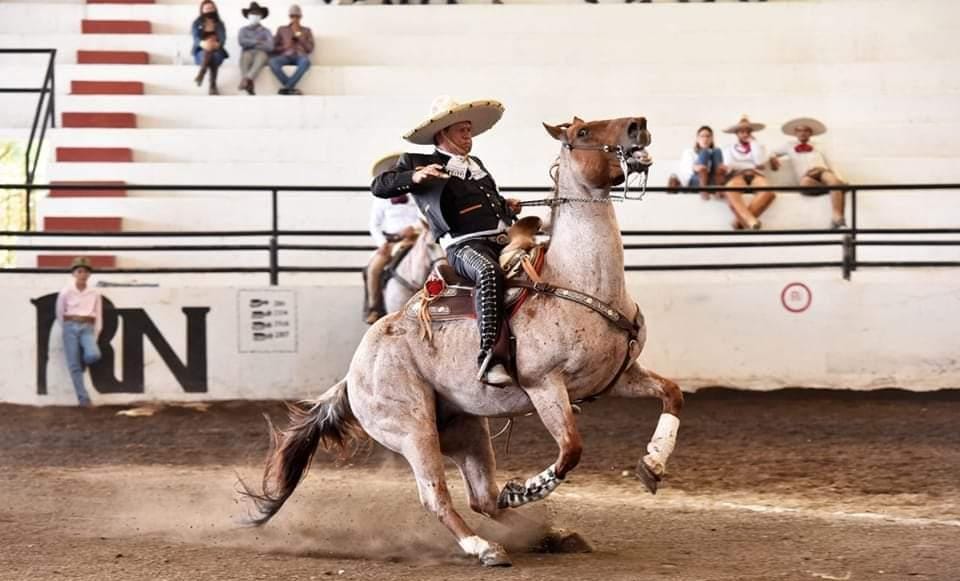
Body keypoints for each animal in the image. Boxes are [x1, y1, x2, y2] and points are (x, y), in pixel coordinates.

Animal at [244, 116, 688, 568]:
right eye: (581, 133)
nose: (638, 126)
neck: (577, 280)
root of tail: (353, 374)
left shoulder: (620, 375)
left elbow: (672, 394)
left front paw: (652, 465)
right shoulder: (545, 386)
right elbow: (570, 450)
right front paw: (527, 487)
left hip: (465, 428)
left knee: (483, 499)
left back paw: (550, 534)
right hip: (412, 430)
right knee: (437, 497)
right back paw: (485, 546)